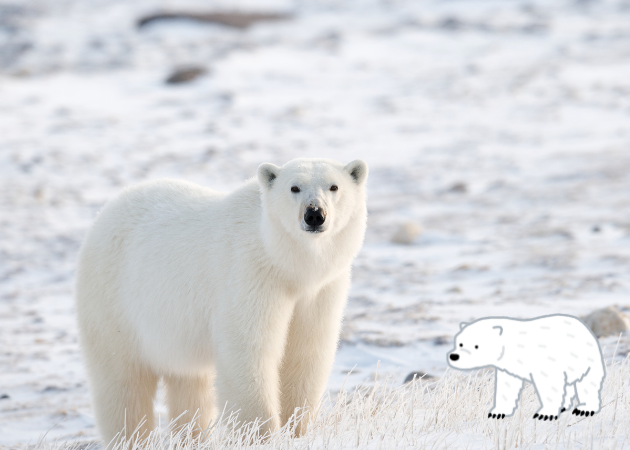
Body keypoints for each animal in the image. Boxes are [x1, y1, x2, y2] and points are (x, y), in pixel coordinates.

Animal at [76, 158, 368, 442]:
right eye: (294, 187)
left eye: (334, 187)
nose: (315, 214)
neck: (286, 264)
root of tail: (105, 212)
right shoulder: (249, 275)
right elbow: (249, 352)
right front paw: (261, 435)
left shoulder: (320, 290)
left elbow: (305, 353)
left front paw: (297, 430)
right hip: (114, 305)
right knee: (123, 385)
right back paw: (131, 438)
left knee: (189, 385)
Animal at [450, 314, 608, 420]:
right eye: (460, 343)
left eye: (476, 345)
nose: (454, 356)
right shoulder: (510, 366)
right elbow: (507, 386)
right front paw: (497, 412)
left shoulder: (545, 360)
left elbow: (550, 384)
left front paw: (545, 414)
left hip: (585, 360)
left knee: (587, 383)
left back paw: (584, 409)